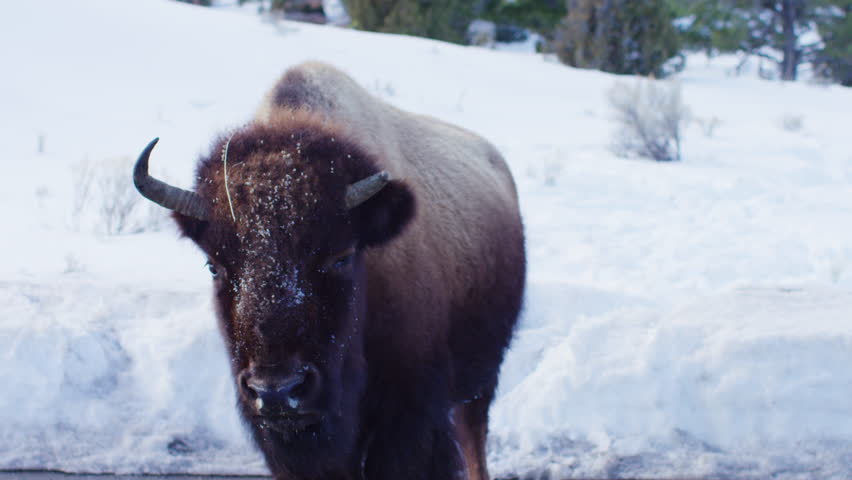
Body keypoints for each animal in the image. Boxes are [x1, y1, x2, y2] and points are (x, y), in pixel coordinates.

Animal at [133, 62, 525, 480]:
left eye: (341, 256)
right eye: (214, 266)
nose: (277, 391)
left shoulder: (410, 416)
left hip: (480, 379)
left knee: (474, 436)